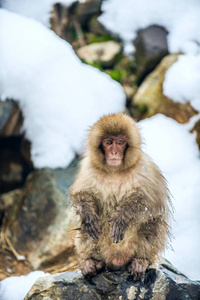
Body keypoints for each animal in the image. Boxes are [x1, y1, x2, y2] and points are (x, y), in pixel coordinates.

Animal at [69, 113, 171, 280]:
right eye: (109, 142)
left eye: (121, 142)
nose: (114, 152)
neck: (115, 170)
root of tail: (116, 261)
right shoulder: (88, 168)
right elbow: (82, 195)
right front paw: (87, 211)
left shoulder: (146, 168)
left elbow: (150, 203)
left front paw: (123, 215)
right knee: (86, 229)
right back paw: (91, 262)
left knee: (151, 224)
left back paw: (140, 262)